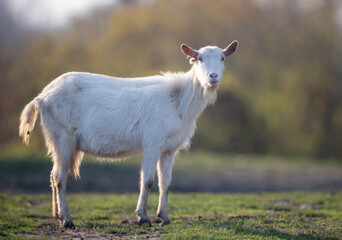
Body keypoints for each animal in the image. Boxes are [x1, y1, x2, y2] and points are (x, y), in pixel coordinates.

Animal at [18, 41, 238, 229]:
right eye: (199, 58)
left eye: (222, 58)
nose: (213, 76)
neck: (179, 99)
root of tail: (41, 97)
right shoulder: (153, 143)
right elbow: (148, 181)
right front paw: (143, 217)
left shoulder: (169, 149)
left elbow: (165, 183)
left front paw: (165, 217)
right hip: (62, 136)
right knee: (59, 177)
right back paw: (67, 220)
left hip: (56, 140)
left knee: (53, 174)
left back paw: (57, 215)